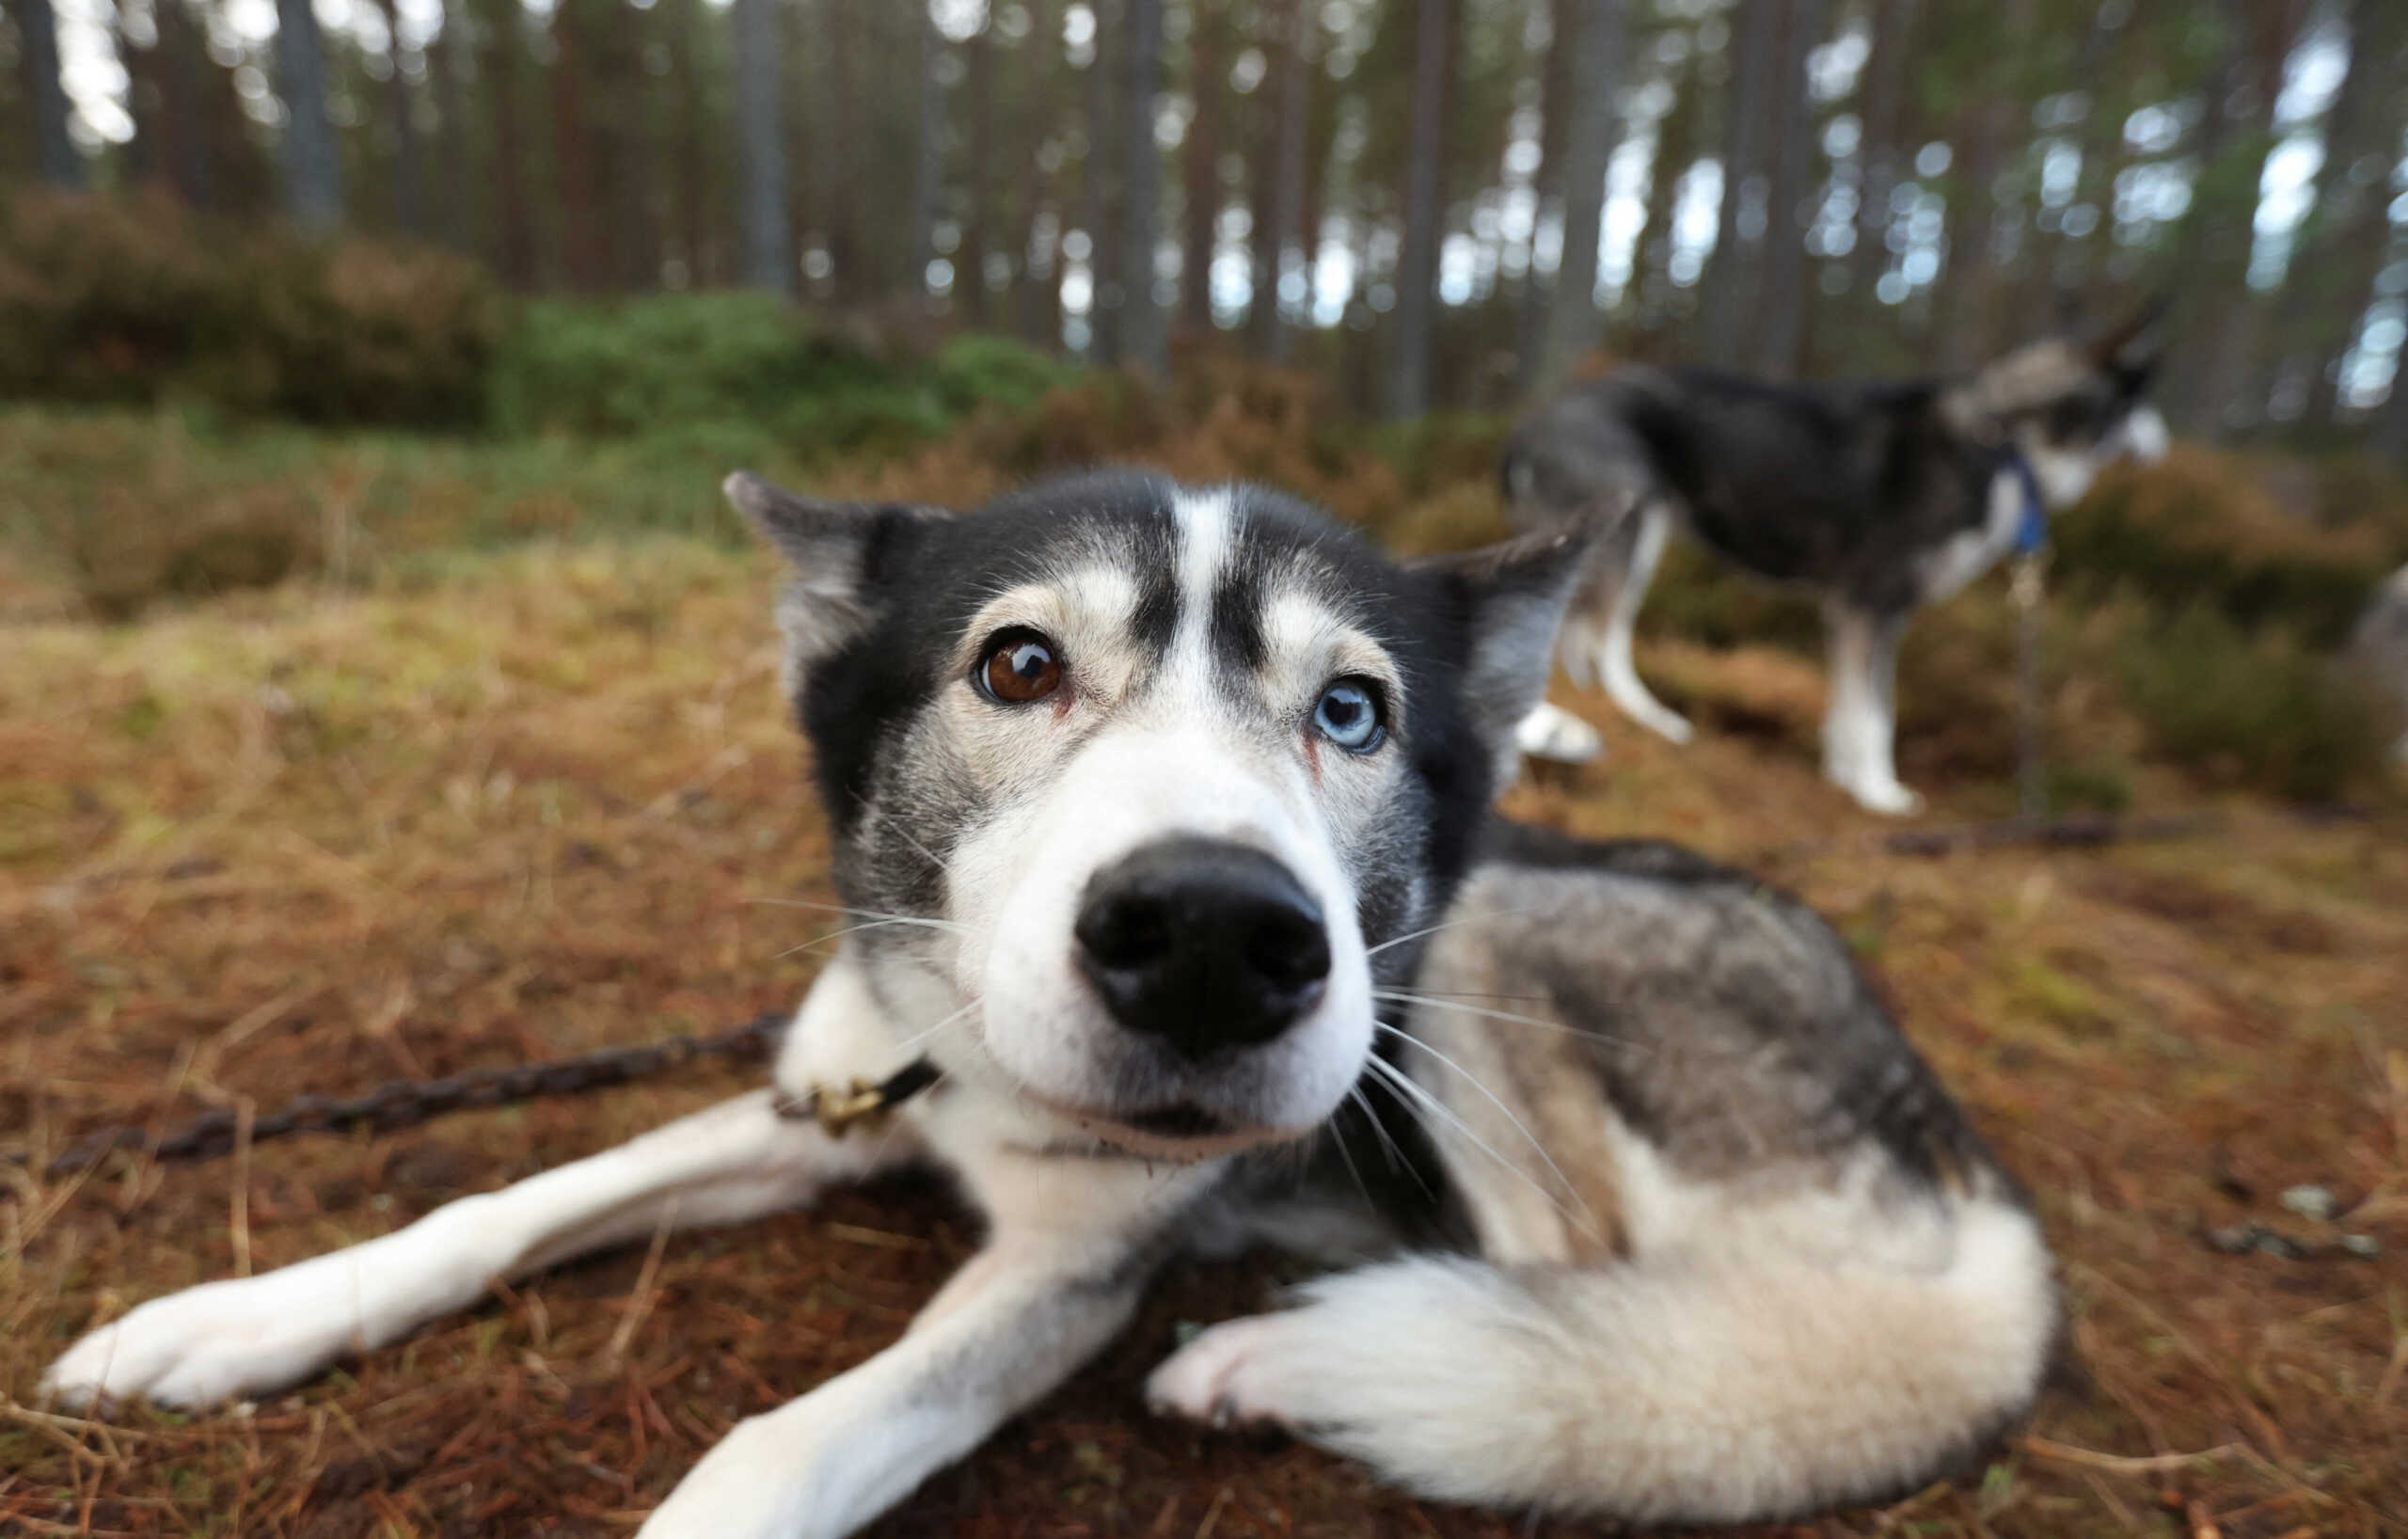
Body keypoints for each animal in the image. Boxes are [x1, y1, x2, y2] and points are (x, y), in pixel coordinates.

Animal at [46, 476, 2061, 1531]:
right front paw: (236, 1319)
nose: (1216, 937)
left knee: (1592, 1318)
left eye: (1352, 711)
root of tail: (1979, 1181)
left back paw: (1297, 1351)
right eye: (1017, 665)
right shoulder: (832, 1097)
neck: (972, 1080)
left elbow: (793, 1439)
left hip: (1483, 963)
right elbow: (505, 1201)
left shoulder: (1065, 1272)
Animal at [1502, 312, 2167, 818]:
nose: (2164, 446)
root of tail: (1533, 422)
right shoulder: (1874, 605)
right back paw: (1650, 719)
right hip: (1632, 528)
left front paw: (1842, 776)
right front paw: (1880, 792)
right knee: (1604, 641)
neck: (2004, 439)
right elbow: (1877, 713)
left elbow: (1846, 706)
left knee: (1577, 638)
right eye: (2143, 395)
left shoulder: (1847, 612)